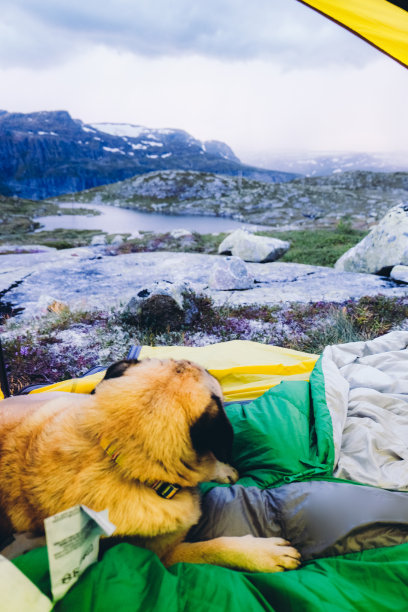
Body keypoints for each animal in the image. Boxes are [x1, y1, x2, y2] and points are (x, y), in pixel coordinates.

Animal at [0, 358, 300, 572]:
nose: (212, 368)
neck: (119, 457)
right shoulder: (160, 556)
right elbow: (212, 547)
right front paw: (262, 554)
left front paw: (224, 470)